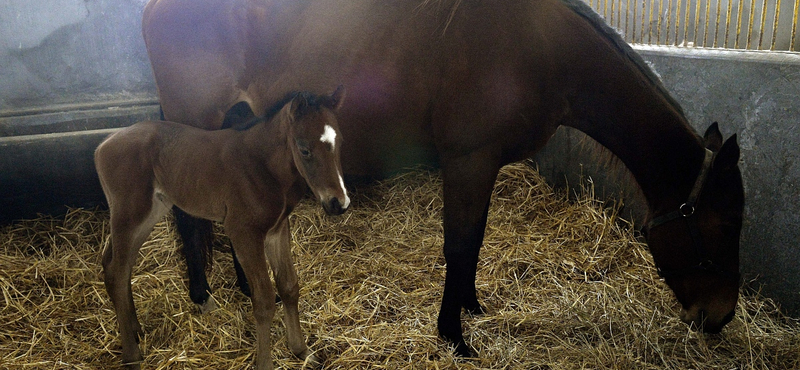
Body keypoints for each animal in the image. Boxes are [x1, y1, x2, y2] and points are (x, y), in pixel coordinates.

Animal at [142, 0, 744, 358]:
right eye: (721, 231)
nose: (719, 319)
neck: (541, 48)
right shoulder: (467, 160)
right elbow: (458, 244)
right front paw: (454, 336)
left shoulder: (485, 165)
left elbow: (473, 243)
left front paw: (471, 306)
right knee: (188, 216)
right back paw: (202, 296)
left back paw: (244, 288)